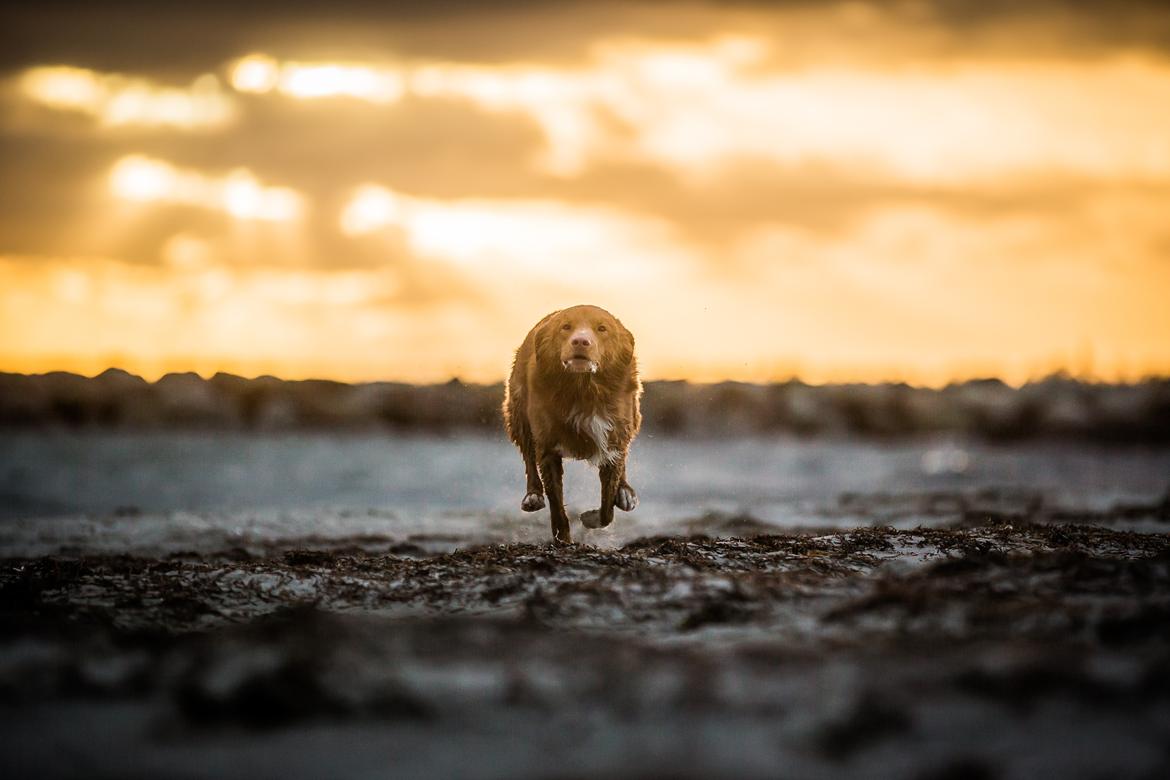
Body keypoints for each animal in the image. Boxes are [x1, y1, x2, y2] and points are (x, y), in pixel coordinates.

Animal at [503, 304, 645, 542]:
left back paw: (625, 492)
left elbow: (607, 506)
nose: (580, 341)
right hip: (518, 412)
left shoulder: (612, 439)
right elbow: (557, 505)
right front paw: (563, 541)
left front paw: (591, 518)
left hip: (631, 419)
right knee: (528, 456)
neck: (583, 389)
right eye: (566, 327)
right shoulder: (548, 449)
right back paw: (533, 495)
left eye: (602, 328)